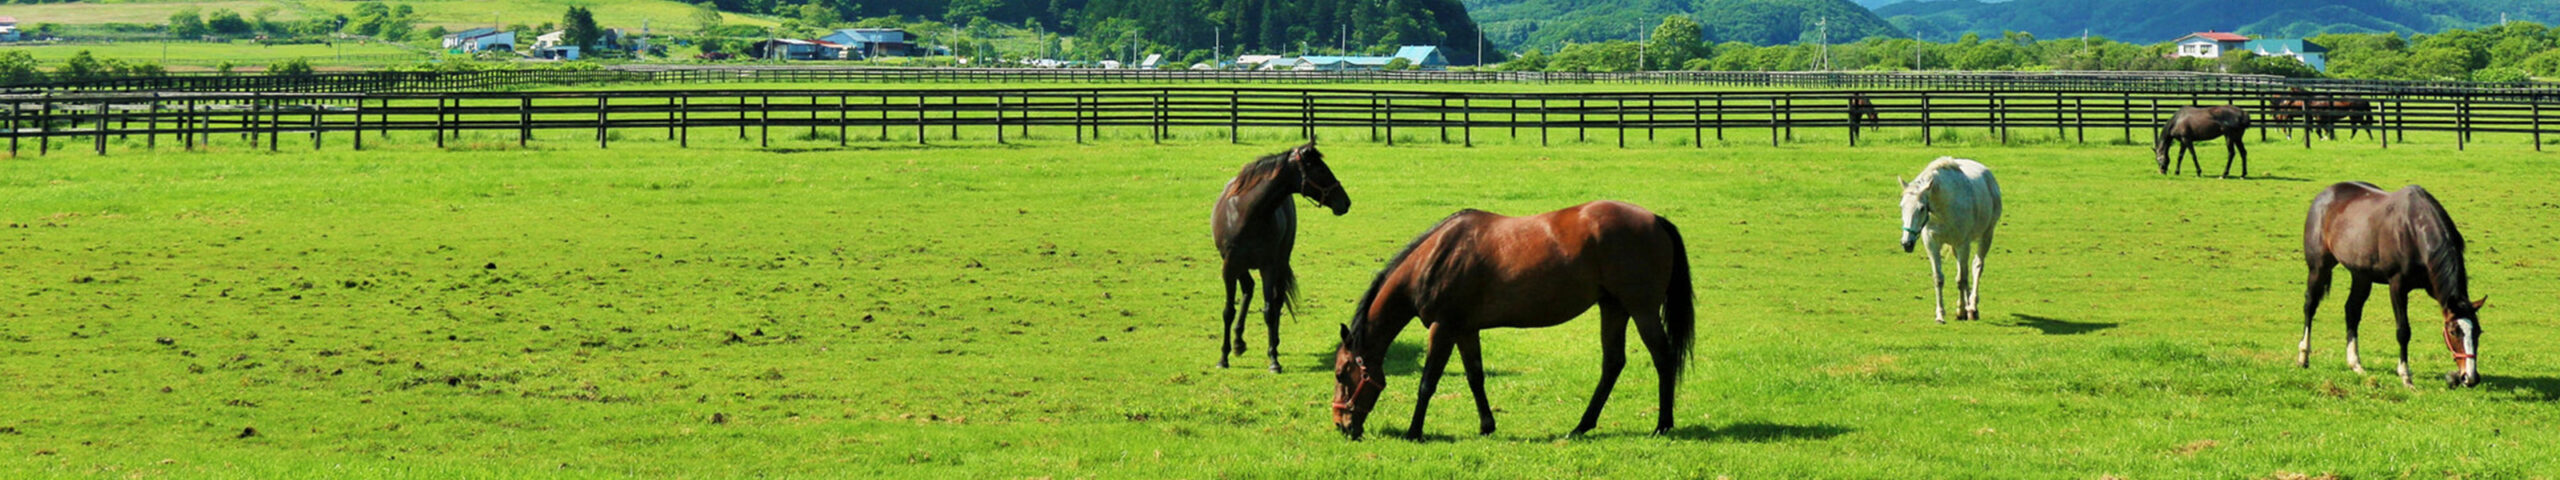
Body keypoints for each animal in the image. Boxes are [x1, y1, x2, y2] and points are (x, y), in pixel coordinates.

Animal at [1208, 140, 1351, 372]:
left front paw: (1273, 359)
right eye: (1321, 169)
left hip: (1279, 263)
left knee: (1276, 301)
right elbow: (1228, 311)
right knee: (1248, 289)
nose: (1345, 202)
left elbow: (1269, 311)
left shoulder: (1268, 266)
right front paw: (1223, 357)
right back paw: (1238, 342)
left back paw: (1272, 343)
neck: (1246, 213)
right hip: (1243, 266)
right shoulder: (1229, 266)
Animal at [1331, 200, 1689, 441]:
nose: (1341, 425)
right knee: (1613, 363)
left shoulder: (1443, 328)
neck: (1435, 257)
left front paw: (1414, 432)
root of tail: (1655, 220)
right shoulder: (1465, 329)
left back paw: (1663, 424)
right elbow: (1475, 377)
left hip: (1641, 310)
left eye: (1340, 373)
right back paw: (1581, 426)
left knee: (1663, 357)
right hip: (1613, 307)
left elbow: (1428, 382)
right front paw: (1486, 426)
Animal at [1894, 157, 2007, 322]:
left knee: (1977, 266)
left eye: (1921, 208)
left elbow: (1961, 279)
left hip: (1986, 235)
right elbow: (1939, 278)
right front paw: (1940, 314)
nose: (1906, 244)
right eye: (1902, 206)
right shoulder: (1932, 243)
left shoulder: (1963, 244)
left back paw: (1972, 308)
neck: (1944, 207)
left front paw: (1961, 311)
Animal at [2304, 181, 2478, 388]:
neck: (2414, 230)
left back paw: (2355, 364)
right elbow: (2403, 331)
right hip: (2318, 267)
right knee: (2310, 305)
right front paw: (2405, 376)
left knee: (2352, 310)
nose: (2470, 377)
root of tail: (2325, 194)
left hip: (2361, 276)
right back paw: (2303, 356)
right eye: (2454, 331)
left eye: (2478, 331)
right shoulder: (2397, 286)